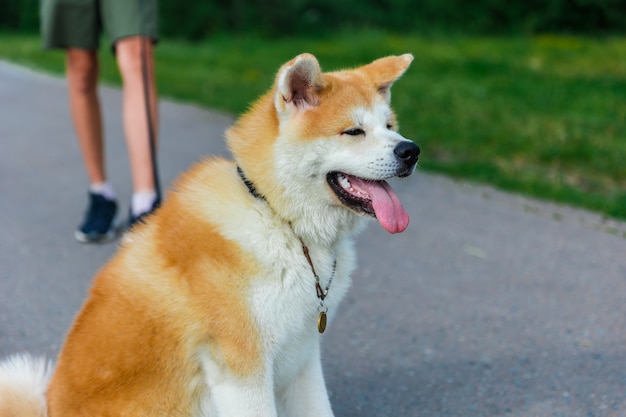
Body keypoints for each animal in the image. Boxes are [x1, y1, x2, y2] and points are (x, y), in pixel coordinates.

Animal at [2, 52, 420, 416]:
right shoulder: (243, 371)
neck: (276, 217)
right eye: (353, 131)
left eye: (390, 126)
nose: (411, 150)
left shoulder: (302, 355)